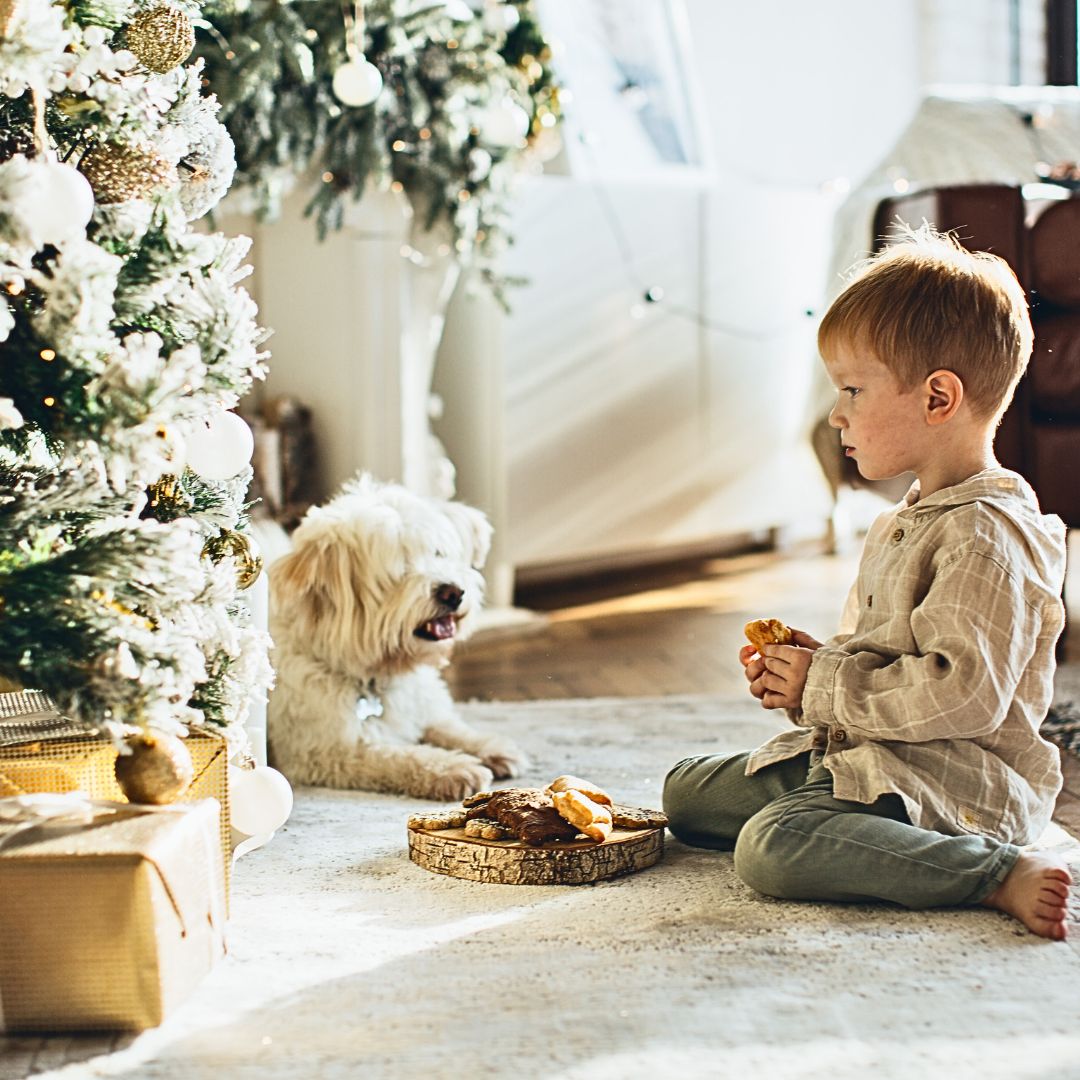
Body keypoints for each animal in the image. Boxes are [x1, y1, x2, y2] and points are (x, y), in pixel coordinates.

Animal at [265, 477, 527, 799]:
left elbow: (446, 726)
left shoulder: (422, 707)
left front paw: (489, 746)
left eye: (438, 553)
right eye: (400, 569)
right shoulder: (325, 753)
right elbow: (398, 756)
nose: (452, 593)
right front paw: (452, 768)